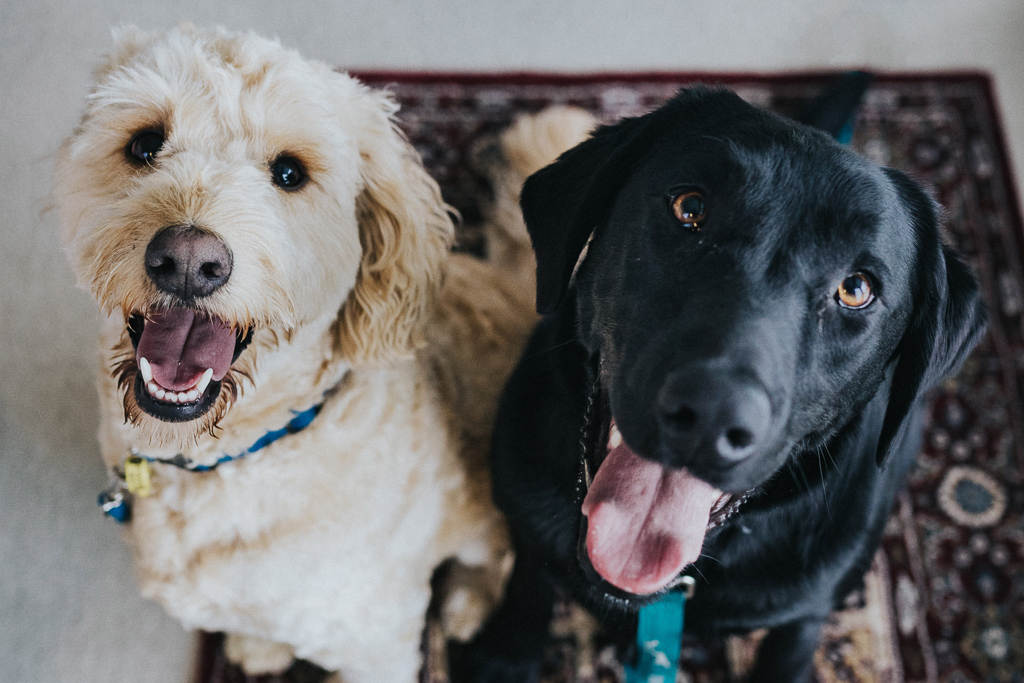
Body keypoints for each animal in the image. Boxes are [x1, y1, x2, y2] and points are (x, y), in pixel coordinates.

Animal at [56, 24, 598, 679]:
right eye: (144, 144)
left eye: (290, 173)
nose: (187, 260)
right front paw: (259, 647)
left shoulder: (375, 641)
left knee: (496, 557)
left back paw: (467, 606)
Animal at [456, 85, 983, 683]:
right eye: (690, 208)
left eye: (856, 289)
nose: (709, 416)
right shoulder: (526, 512)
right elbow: (529, 582)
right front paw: (505, 655)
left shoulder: (806, 606)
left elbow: (789, 649)